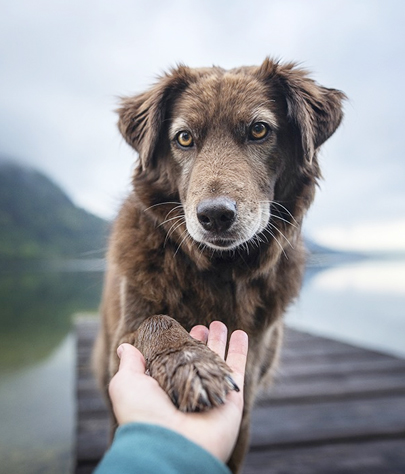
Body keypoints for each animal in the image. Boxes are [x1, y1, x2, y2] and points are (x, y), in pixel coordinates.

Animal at [94, 57, 344, 472]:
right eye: (183, 138)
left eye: (259, 130)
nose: (215, 216)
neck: (220, 269)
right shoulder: (126, 333)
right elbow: (156, 322)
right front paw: (190, 362)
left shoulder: (248, 397)